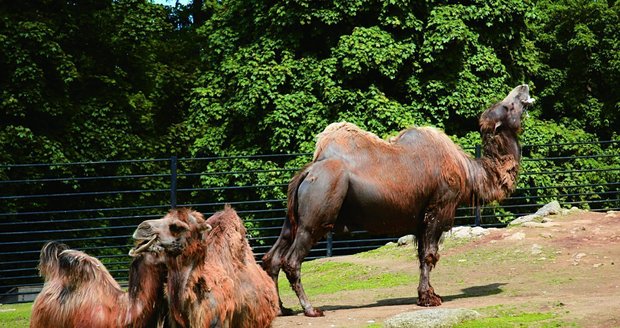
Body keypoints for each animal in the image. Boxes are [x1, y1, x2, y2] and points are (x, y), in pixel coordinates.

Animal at [260, 84, 532, 316]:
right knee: (291, 260)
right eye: (508, 106)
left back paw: (280, 308)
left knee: (272, 257)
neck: (468, 173)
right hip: (316, 214)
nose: (524, 87)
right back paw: (311, 309)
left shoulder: (421, 218)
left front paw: (426, 295)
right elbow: (430, 255)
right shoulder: (439, 209)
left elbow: (422, 256)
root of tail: (307, 172)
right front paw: (430, 299)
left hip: (293, 218)